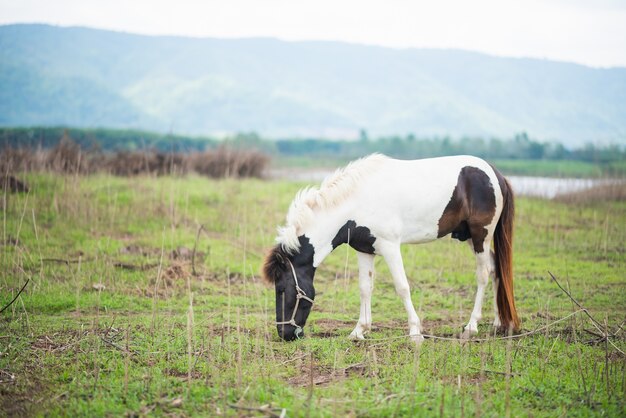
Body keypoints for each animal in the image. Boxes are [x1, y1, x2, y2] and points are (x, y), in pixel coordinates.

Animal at [260, 155, 520, 342]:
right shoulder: (365, 249)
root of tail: (497, 175)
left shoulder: (390, 247)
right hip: (470, 237)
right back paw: (498, 322)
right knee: (495, 268)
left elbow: (402, 287)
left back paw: (471, 326)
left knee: (483, 274)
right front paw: (359, 330)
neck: (357, 202)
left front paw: (415, 333)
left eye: (282, 289)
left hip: (481, 235)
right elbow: (365, 288)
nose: (285, 335)